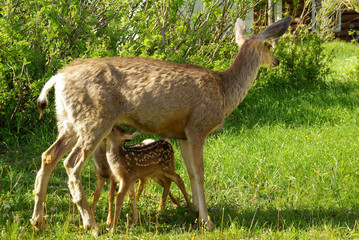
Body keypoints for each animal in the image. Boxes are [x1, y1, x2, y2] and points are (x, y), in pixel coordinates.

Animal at [31, 17, 292, 235]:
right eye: (269, 46)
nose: (277, 61)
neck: (224, 91)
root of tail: (57, 78)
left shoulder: (183, 134)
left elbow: (189, 172)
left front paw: (194, 210)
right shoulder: (198, 126)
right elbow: (200, 173)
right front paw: (207, 221)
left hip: (68, 121)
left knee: (48, 156)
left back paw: (38, 221)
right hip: (94, 119)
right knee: (71, 164)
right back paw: (92, 225)